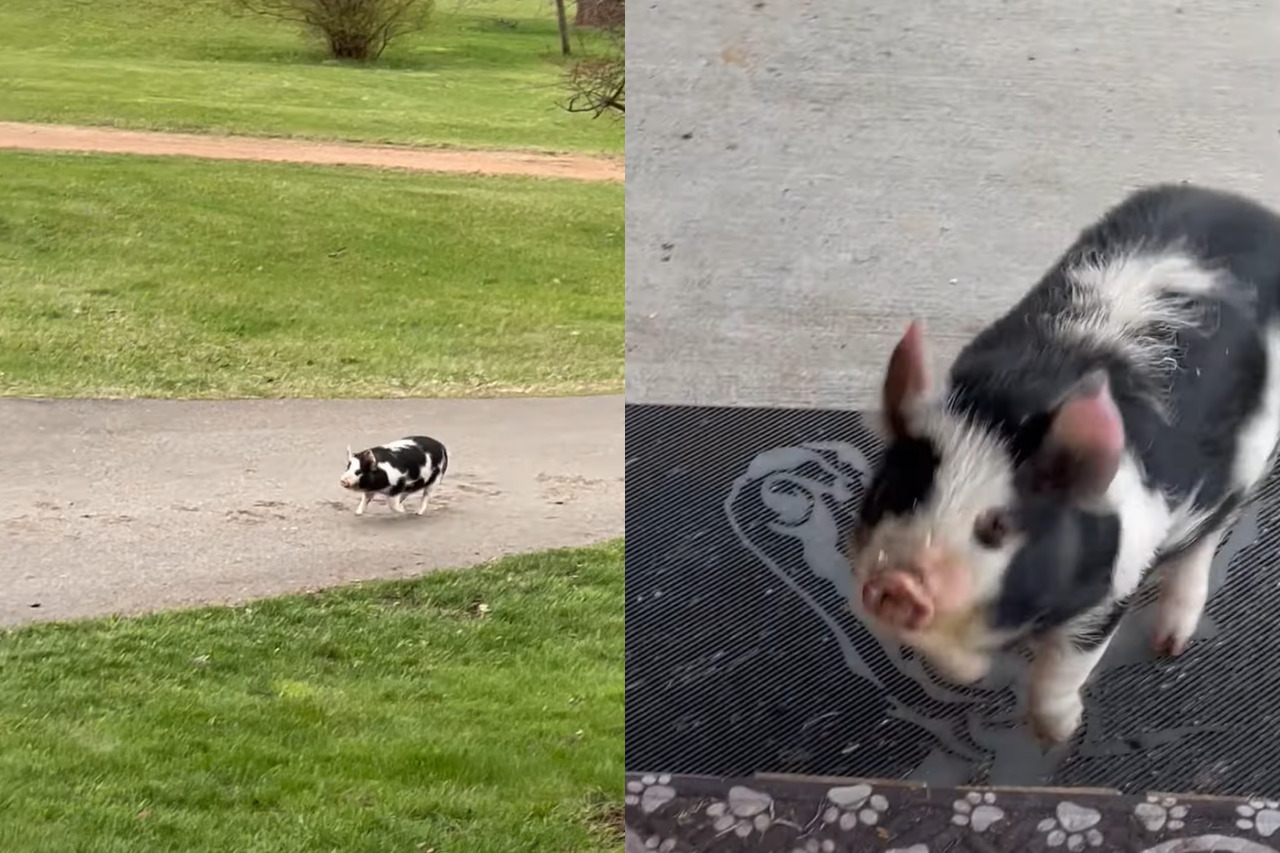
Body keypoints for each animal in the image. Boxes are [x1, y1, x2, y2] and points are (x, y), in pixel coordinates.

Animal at [855, 183, 1280, 742]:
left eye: (995, 526)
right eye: (891, 494)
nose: (895, 582)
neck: (1006, 408)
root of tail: (1248, 207)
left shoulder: (1115, 582)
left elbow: (1065, 667)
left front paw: (1060, 735)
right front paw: (972, 672)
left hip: (1245, 472)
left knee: (1203, 546)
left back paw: (1168, 646)